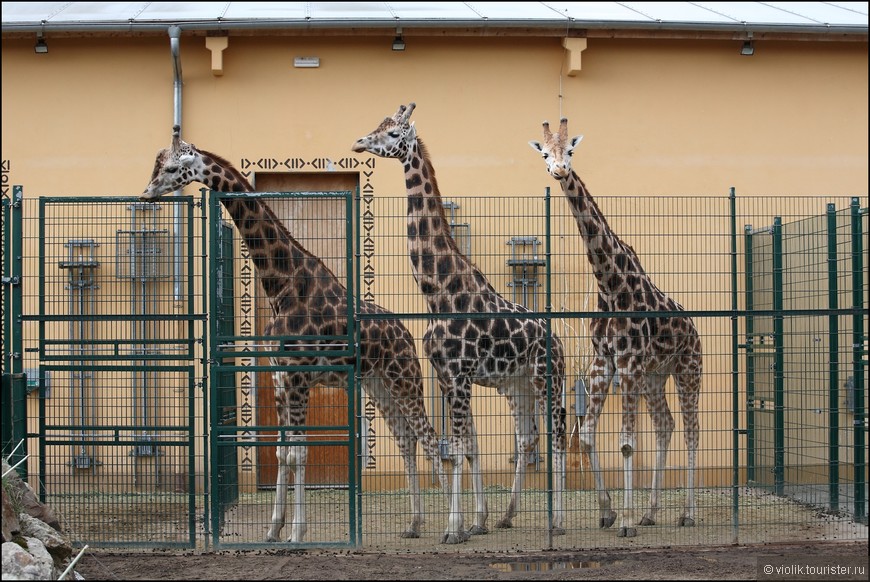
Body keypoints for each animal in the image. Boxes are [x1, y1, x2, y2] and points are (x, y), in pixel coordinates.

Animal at [141, 125, 450, 544]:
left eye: (173, 168)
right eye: (158, 165)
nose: (146, 193)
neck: (282, 287)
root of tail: (405, 332)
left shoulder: (300, 377)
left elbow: (300, 453)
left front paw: (297, 533)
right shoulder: (280, 378)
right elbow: (281, 453)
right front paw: (273, 529)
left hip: (404, 378)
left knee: (431, 437)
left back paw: (454, 526)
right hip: (377, 384)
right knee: (407, 438)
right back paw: (415, 523)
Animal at [354, 102, 572, 544]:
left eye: (393, 133)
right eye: (379, 125)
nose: (359, 143)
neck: (439, 294)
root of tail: (559, 344)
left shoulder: (458, 375)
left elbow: (455, 449)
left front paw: (453, 529)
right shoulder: (448, 377)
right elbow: (467, 447)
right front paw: (477, 521)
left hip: (546, 379)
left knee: (557, 438)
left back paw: (558, 521)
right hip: (516, 386)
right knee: (528, 439)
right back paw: (508, 516)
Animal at [528, 117, 704, 540]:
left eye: (570, 150)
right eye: (544, 154)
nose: (560, 170)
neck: (609, 282)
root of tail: (693, 329)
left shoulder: (628, 361)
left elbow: (625, 443)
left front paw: (624, 520)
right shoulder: (602, 361)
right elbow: (589, 435)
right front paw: (609, 512)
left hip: (687, 370)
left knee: (691, 431)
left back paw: (687, 513)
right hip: (656, 376)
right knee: (665, 425)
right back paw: (651, 512)